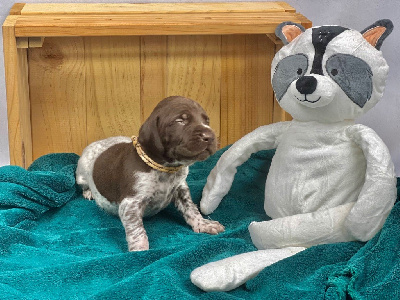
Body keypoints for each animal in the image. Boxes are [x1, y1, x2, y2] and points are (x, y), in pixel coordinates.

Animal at [76, 96, 225, 251]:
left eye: (206, 121)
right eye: (180, 120)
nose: (210, 136)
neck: (166, 169)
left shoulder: (181, 188)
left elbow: (190, 208)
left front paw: (203, 223)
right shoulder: (130, 204)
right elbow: (137, 231)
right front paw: (140, 250)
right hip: (81, 173)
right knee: (84, 184)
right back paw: (89, 192)